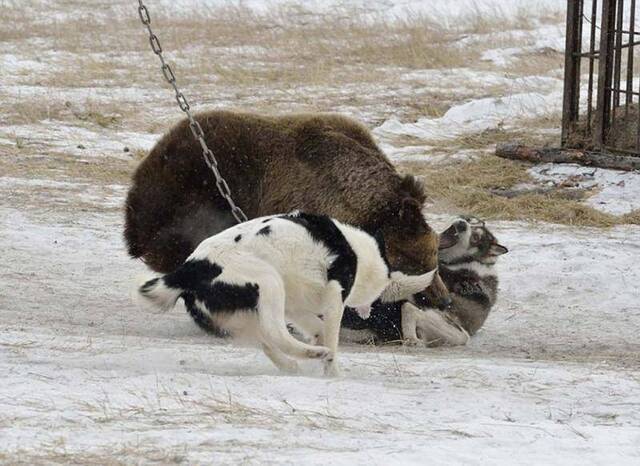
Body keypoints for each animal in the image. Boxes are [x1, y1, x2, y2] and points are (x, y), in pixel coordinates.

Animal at [139, 213, 436, 376]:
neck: (359, 254)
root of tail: (189, 269)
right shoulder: (335, 298)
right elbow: (332, 335)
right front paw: (332, 371)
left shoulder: (296, 306)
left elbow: (314, 326)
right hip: (269, 283)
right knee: (275, 335)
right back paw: (315, 354)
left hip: (243, 315)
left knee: (267, 341)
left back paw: (294, 364)